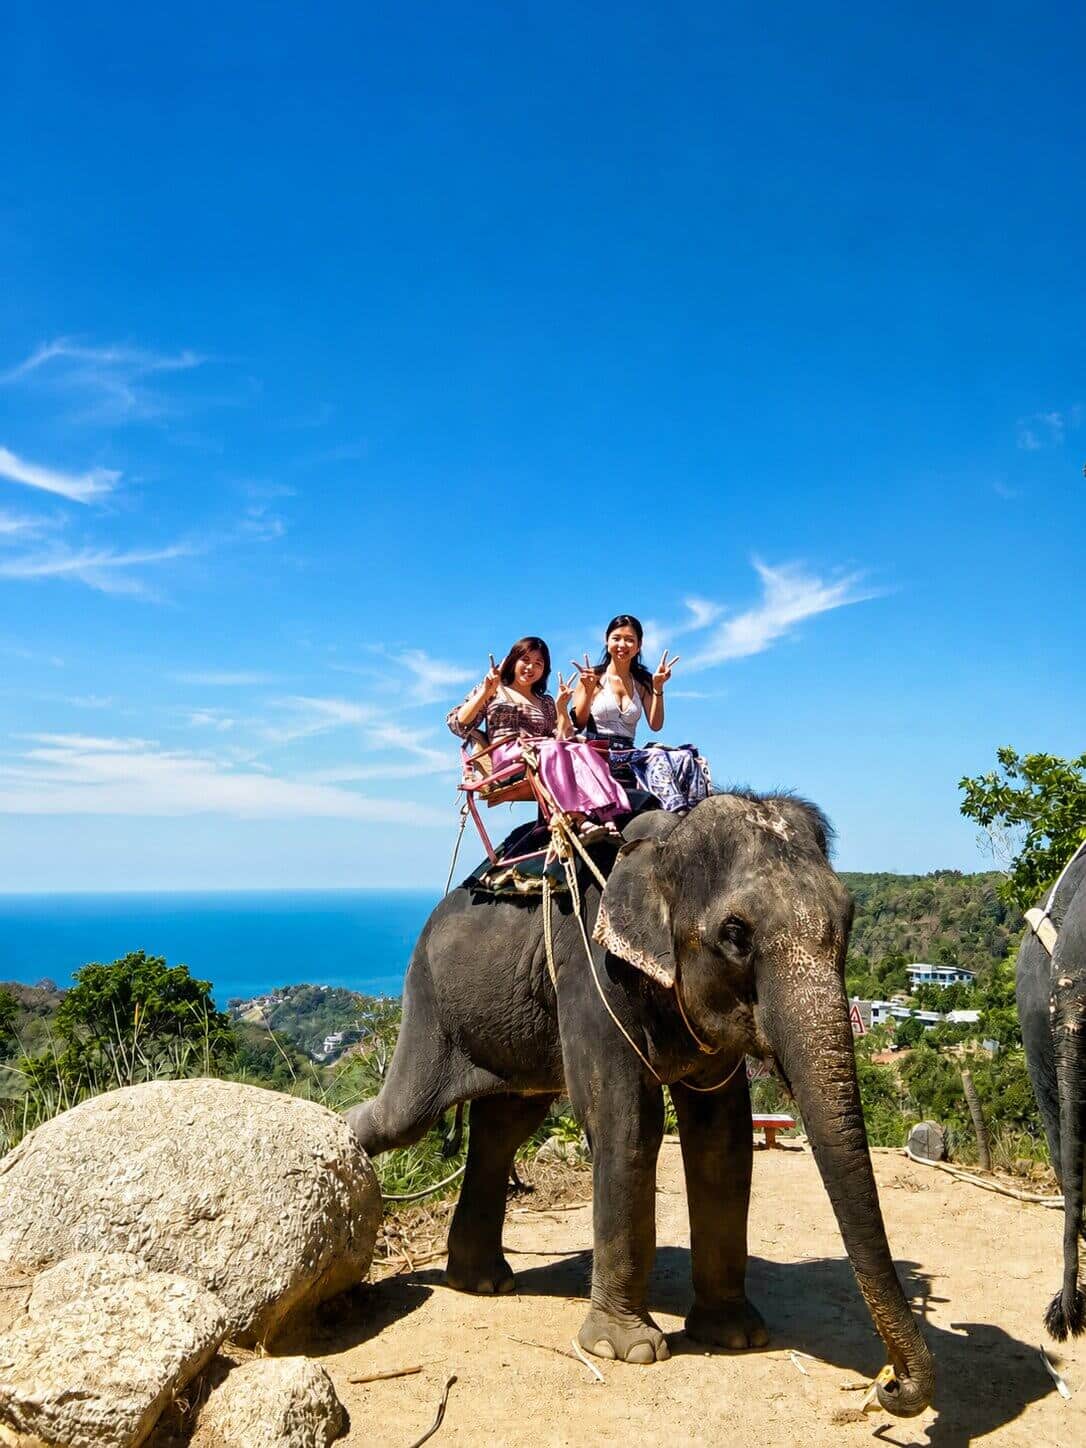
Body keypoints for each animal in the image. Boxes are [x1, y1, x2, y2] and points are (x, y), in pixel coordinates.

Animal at [346, 791, 935, 1417]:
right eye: (735, 934)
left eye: (849, 919)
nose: (888, 1386)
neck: (666, 841)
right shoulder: (591, 970)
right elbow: (627, 1121)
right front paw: (627, 1350)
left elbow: (721, 1137)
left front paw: (735, 1336)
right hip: (429, 999)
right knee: (407, 1116)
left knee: (504, 1126)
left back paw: (482, 1283)